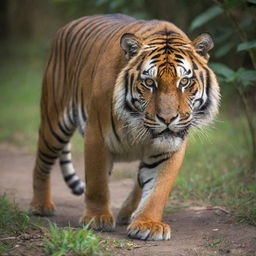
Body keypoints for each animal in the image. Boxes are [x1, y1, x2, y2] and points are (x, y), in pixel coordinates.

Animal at [31, 14, 220, 241]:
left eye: (184, 82)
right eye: (149, 82)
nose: (167, 118)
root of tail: (67, 26)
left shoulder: (170, 147)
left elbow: (157, 189)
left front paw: (148, 224)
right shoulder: (96, 136)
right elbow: (97, 182)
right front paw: (97, 219)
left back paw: (128, 212)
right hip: (54, 123)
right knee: (42, 164)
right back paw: (41, 206)